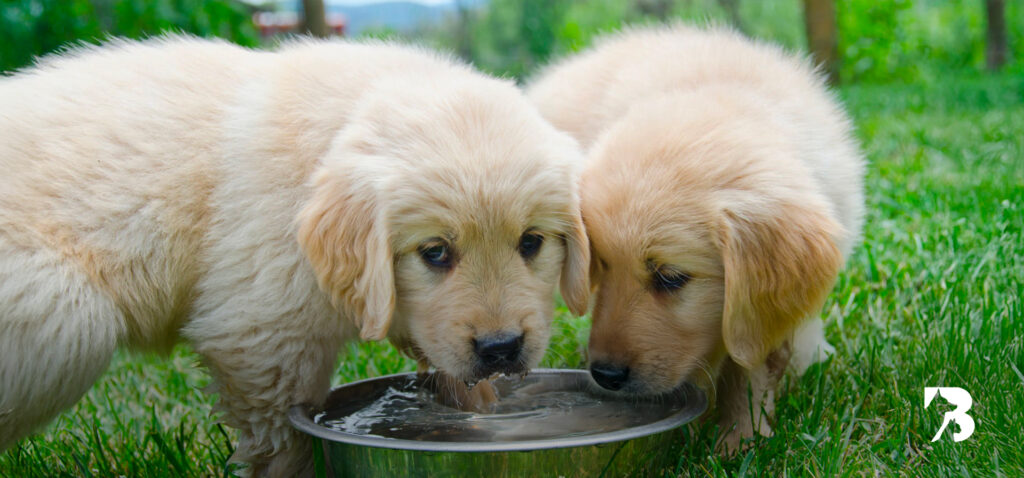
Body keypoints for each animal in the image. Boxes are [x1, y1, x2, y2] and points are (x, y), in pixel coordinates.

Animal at [0, 36, 589, 474]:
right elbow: (285, 438)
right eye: (436, 252)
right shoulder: (262, 335)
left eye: (531, 242)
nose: (500, 348)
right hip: (65, 314)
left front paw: (478, 416)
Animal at [528, 24, 864, 450]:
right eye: (601, 266)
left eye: (670, 278)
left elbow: (750, 361)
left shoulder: (753, 312)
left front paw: (741, 438)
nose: (605, 375)